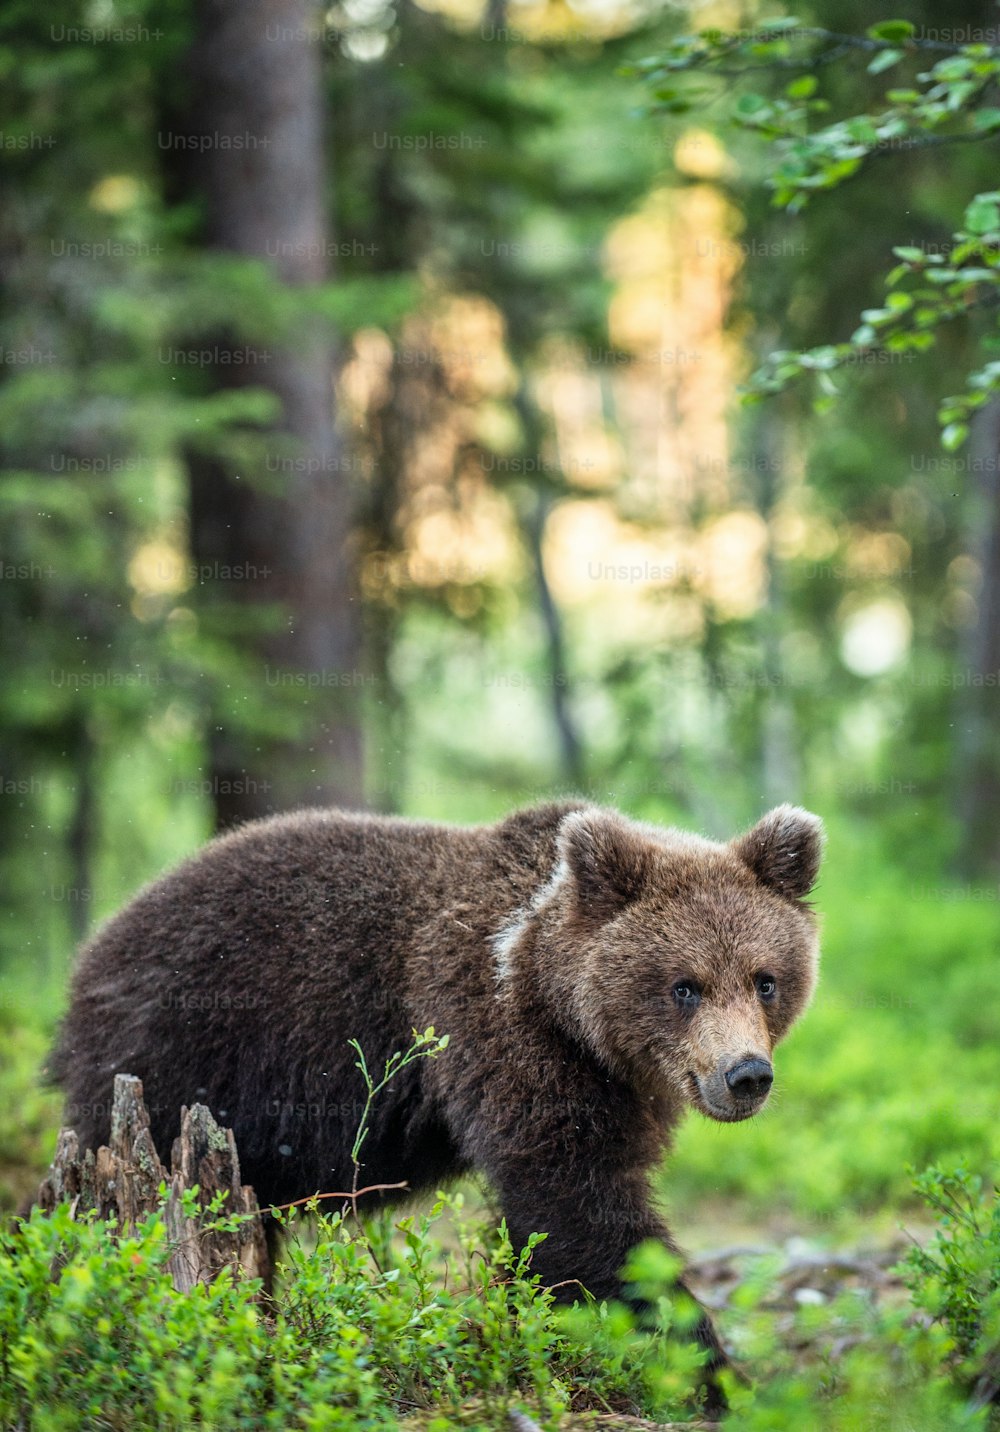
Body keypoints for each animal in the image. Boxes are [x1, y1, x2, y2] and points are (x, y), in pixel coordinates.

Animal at [50, 801, 819, 1380]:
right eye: (684, 986)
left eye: (765, 979)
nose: (745, 1074)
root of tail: (89, 958)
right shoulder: (493, 1032)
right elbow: (576, 1203)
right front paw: (710, 1367)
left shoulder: (623, 1086)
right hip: (178, 1060)